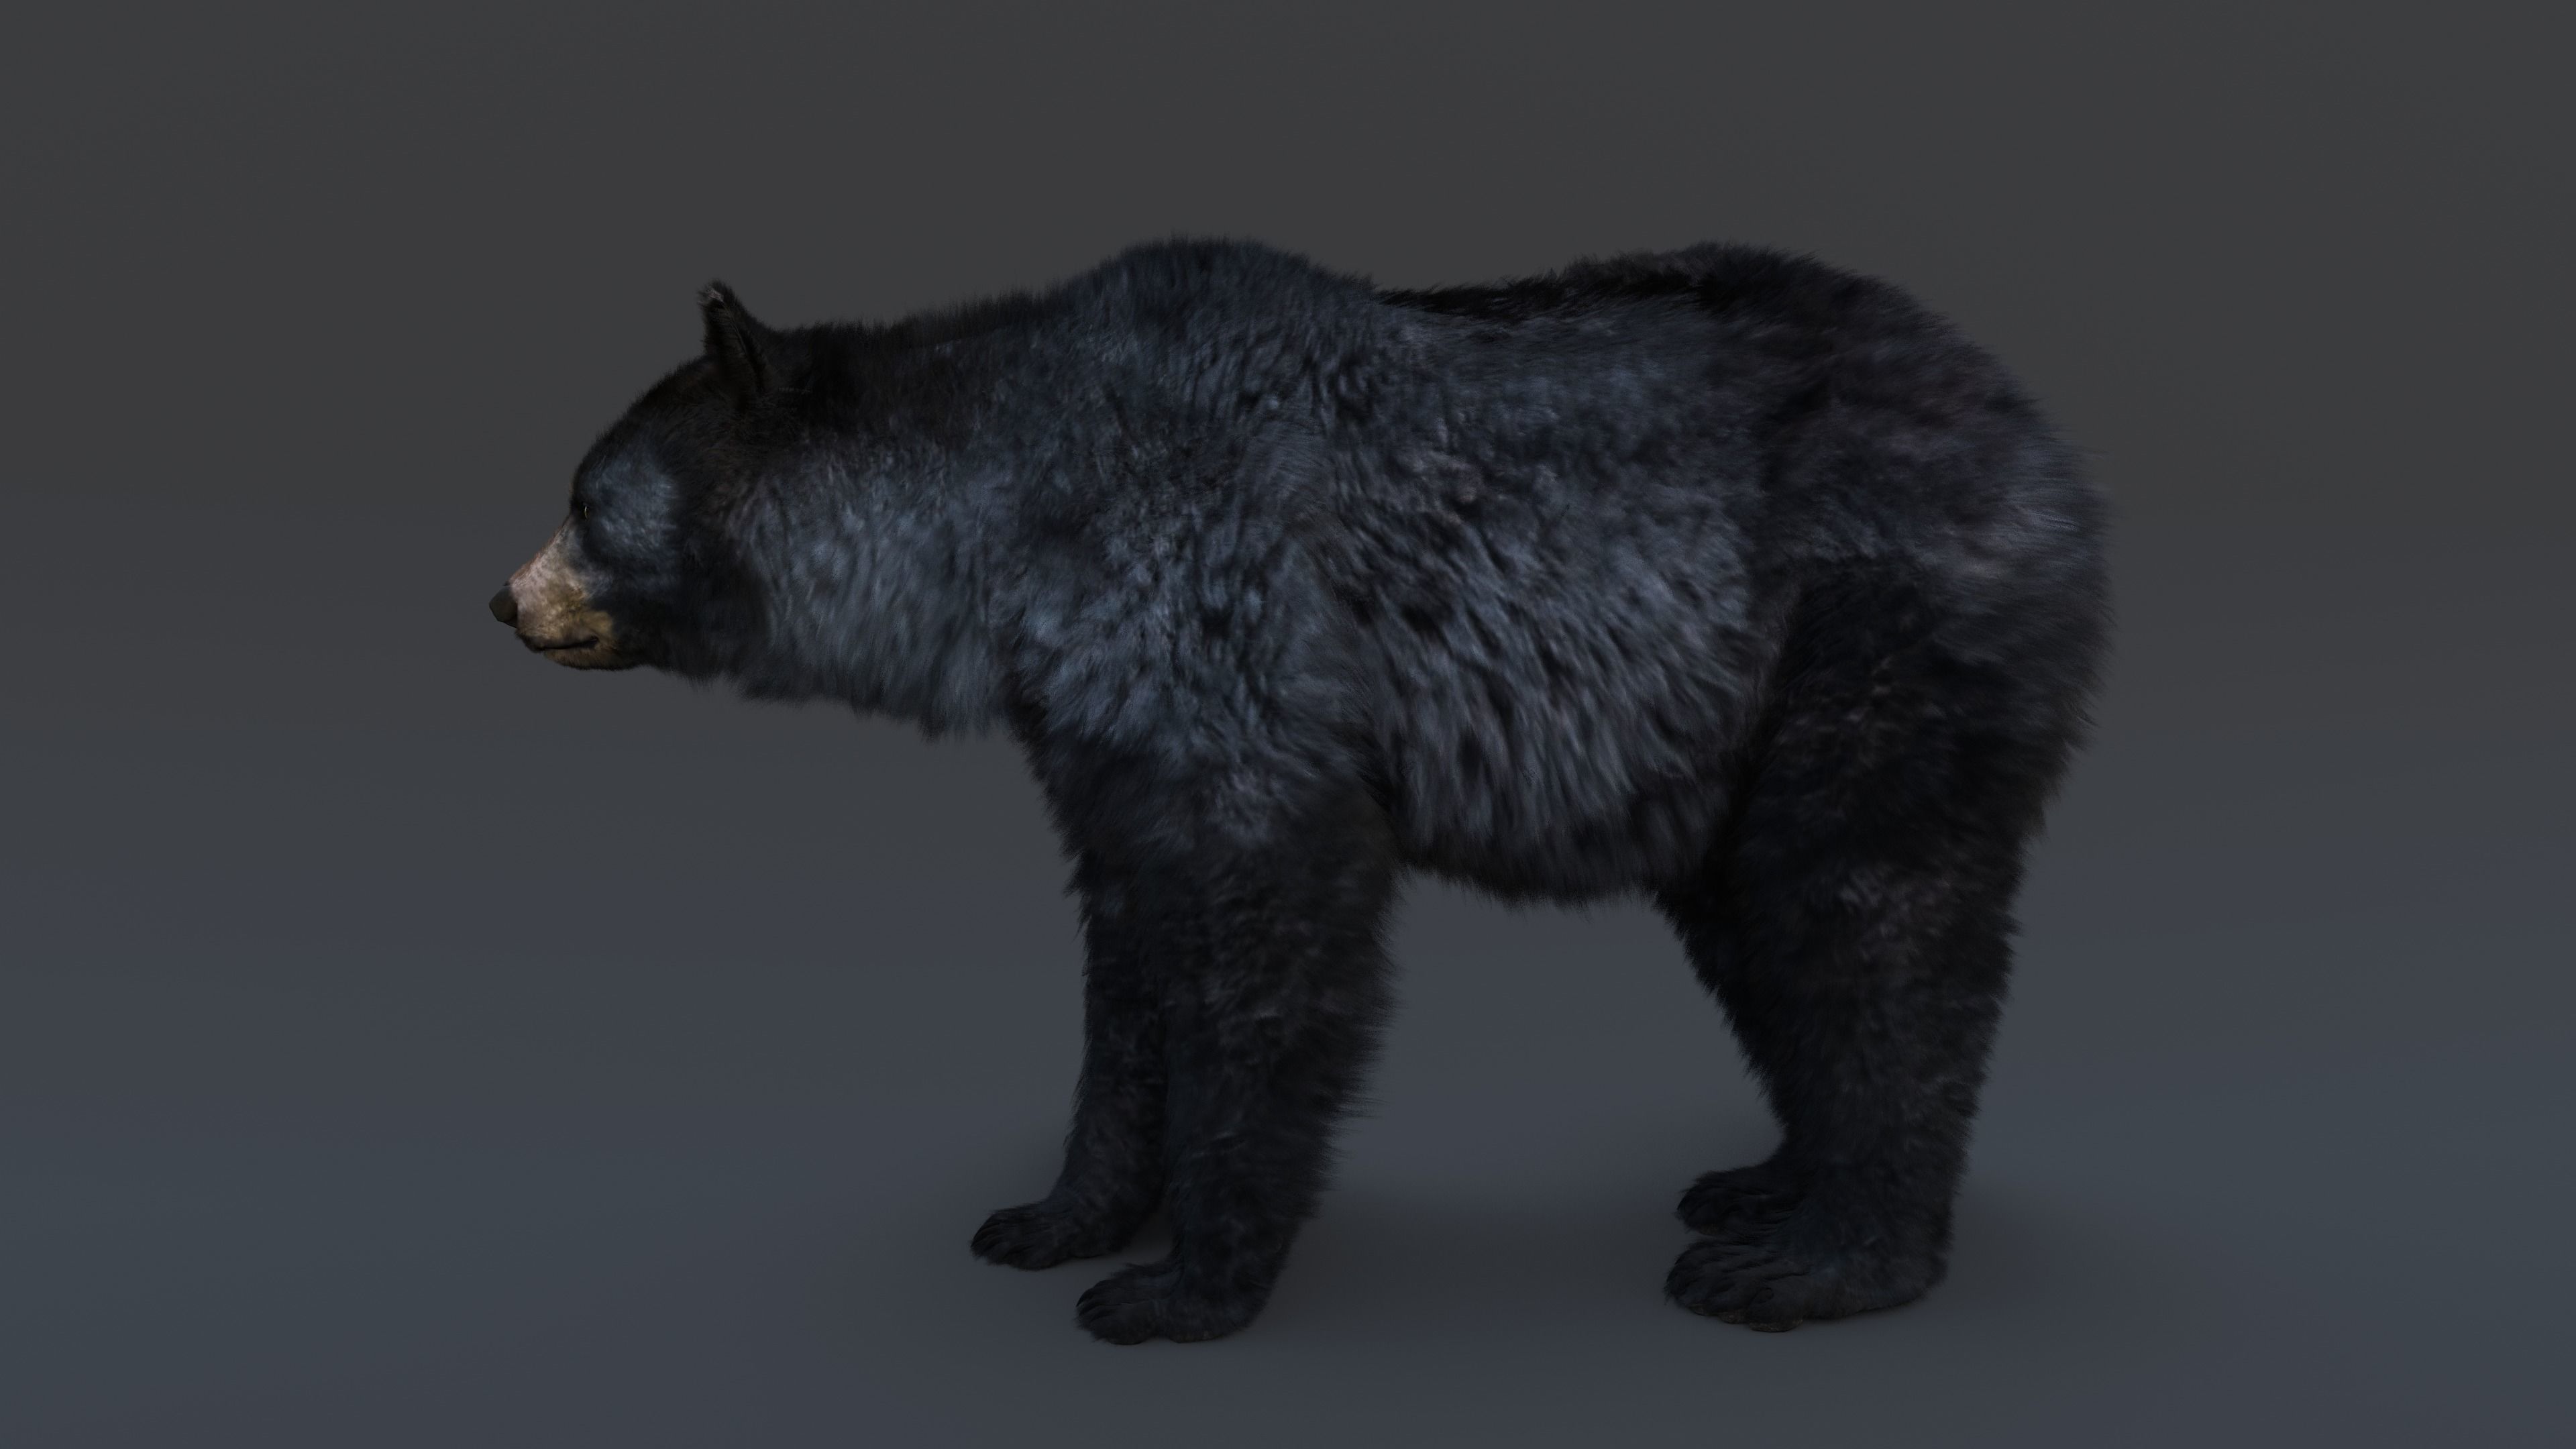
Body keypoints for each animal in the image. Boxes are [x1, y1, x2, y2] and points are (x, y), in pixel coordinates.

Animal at [491, 238, 2111, 1344]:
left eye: (584, 497)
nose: (504, 601)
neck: (1012, 519)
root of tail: (2037, 432)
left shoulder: (1217, 606)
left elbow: (1268, 916)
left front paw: (1179, 1286)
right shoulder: (1096, 716)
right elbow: (1129, 952)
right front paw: (1059, 1215)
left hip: (1863, 630)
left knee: (1862, 915)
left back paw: (1823, 1256)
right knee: (1761, 932)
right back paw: (1767, 1183)